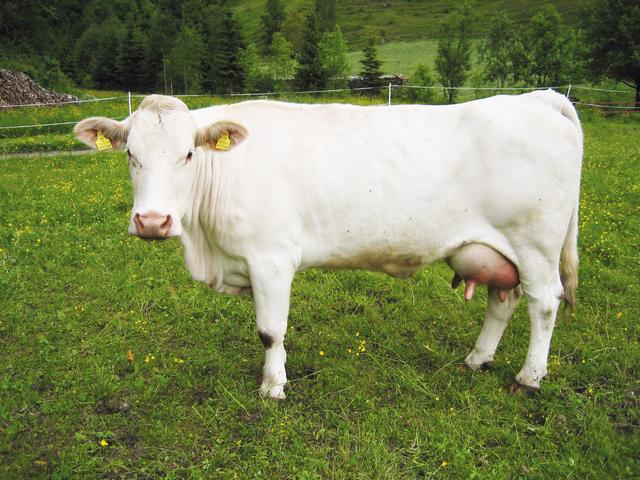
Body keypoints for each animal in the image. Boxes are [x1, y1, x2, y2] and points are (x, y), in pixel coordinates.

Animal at [74, 91, 582, 399]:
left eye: (188, 154)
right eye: (130, 155)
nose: (152, 221)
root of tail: (537, 98)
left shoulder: (271, 257)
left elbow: (270, 331)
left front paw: (273, 387)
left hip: (535, 244)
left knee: (544, 304)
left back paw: (529, 379)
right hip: (498, 250)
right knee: (504, 300)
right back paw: (477, 359)